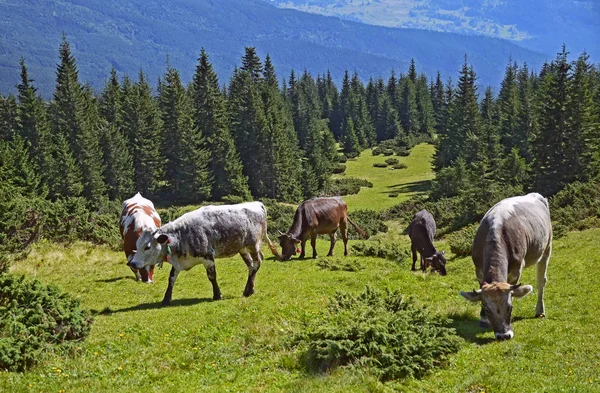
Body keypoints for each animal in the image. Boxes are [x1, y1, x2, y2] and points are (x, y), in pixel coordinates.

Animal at [460, 191, 552, 338]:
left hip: (547, 247)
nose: (504, 335)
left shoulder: (516, 270)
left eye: (510, 307)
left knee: (541, 280)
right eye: (487, 309)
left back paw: (540, 310)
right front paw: (483, 319)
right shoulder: (478, 269)